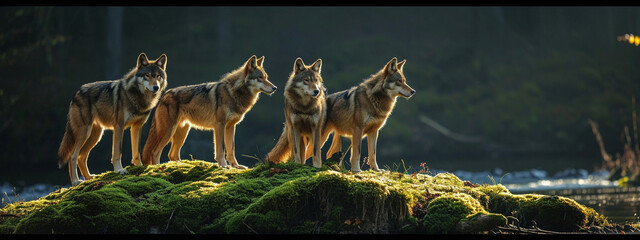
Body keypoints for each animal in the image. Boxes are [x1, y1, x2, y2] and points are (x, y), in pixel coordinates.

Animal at [58, 52, 168, 186]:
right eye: (147, 75)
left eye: (158, 76)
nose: (156, 87)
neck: (138, 98)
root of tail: (76, 93)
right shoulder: (119, 126)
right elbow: (117, 152)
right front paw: (119, 170)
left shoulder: (137, 126)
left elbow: (136, 152)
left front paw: (140, 166)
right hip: (84, 133)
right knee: (72, 156)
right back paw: (75, 181)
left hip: (96, 135)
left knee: (82, 156)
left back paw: (89, 178)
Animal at [142, 55, 276, 169]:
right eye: (260, 77)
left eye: (266, 77)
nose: (275, 88)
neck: (234, 93)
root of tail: (163, 95)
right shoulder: (219, 125)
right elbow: (221, 149)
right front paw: (223, 165)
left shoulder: (231, 127)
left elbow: (231, 149)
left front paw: (236, 166)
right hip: (169, 131)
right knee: (155, 152)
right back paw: (158, 168)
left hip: (183, 132)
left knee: (172, 154)